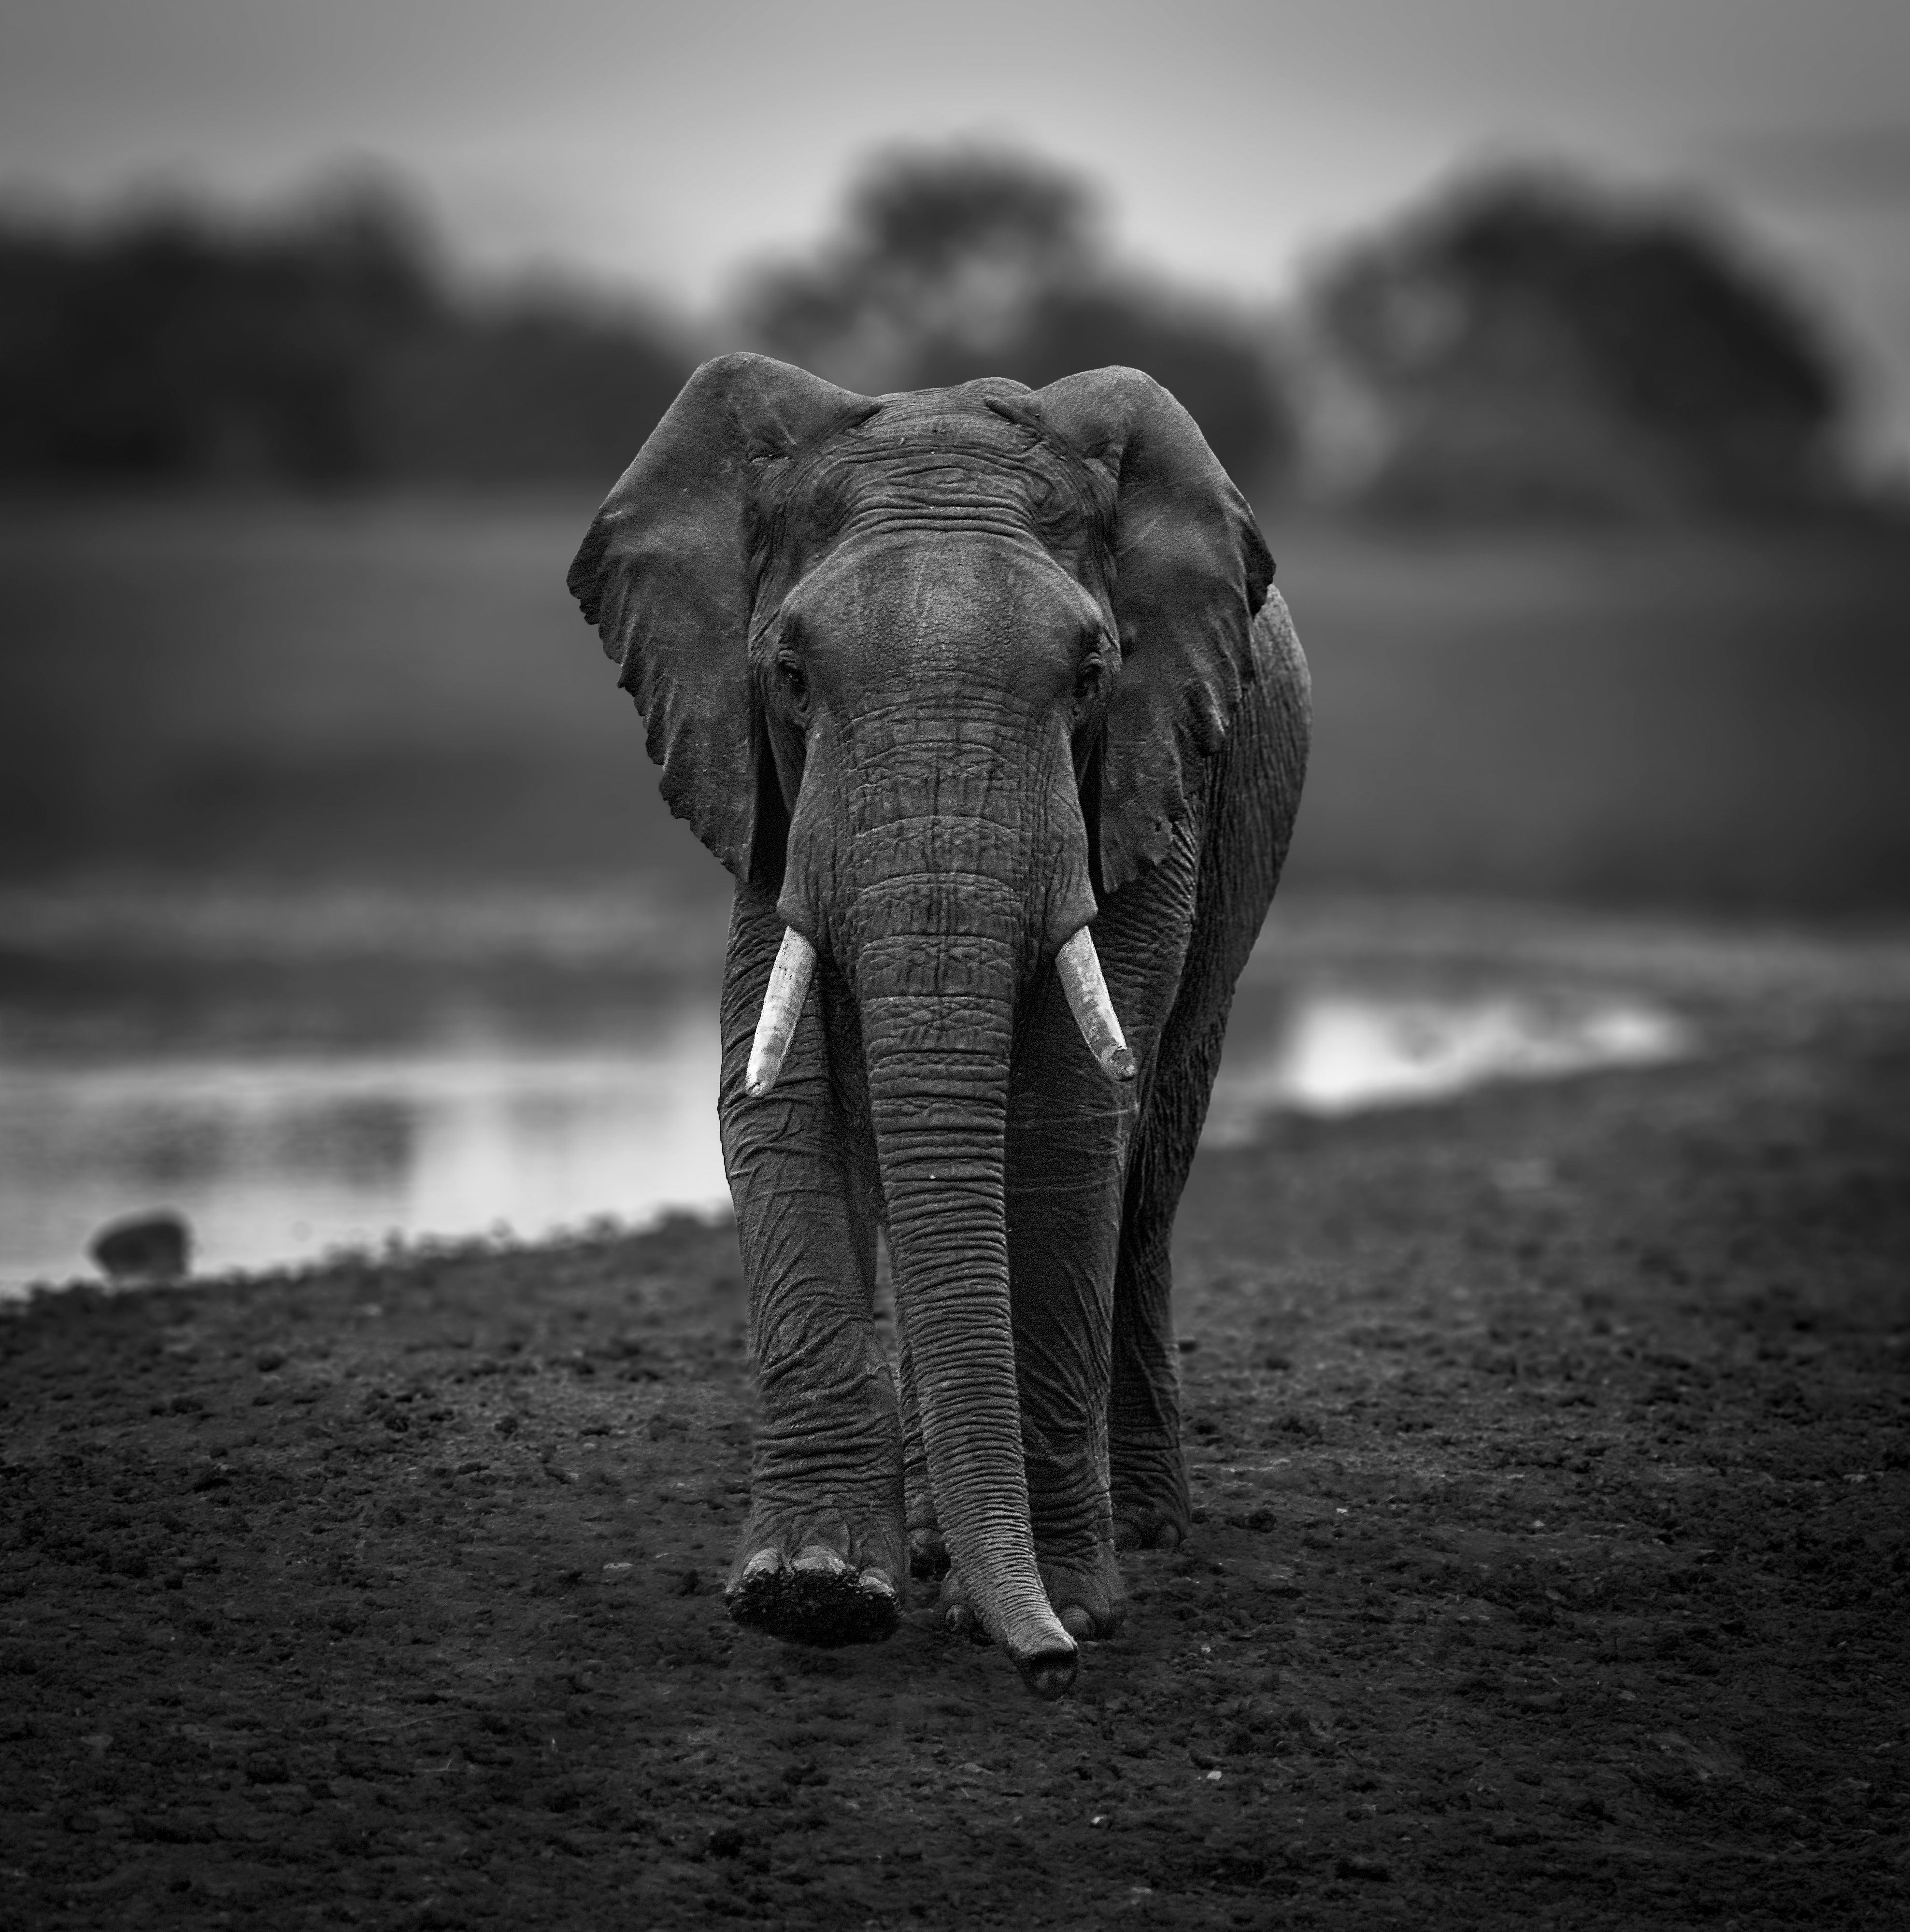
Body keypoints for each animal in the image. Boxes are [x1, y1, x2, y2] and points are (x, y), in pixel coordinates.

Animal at [568, 352, 1308, 1697]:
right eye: (789, 674)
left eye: (1090, 677)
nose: (1049, 1665)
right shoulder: (765, 791)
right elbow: (782, 1095)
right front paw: (810, 1591)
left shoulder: (1146, 782)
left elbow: (1067, 1122)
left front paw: (1067, 1605)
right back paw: (925, 1540)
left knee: (1153, 1161)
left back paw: (1143, 1527)